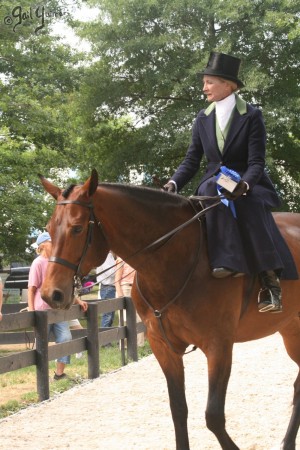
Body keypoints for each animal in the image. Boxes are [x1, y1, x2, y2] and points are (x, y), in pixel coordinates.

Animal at [39, 170, 300, 450]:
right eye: (49, 229)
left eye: (77, 228)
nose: (51, 294)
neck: (175, 259)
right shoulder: (164, 346)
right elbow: (178, 410)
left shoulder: (218, 346)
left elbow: (213, 417)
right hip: (291, 332)